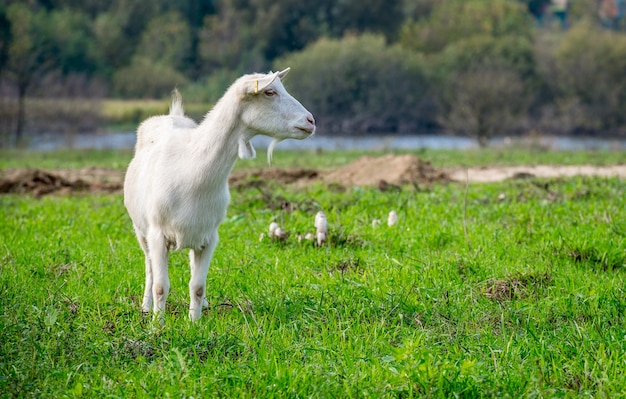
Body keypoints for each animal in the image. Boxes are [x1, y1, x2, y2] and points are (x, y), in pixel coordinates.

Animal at [122, 69, 314, 322]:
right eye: (270, 92)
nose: (310, 121)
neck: (192, 168)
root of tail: (172, 115)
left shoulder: (209, 237)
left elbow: (197, 285)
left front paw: (194, 322)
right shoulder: (157, 233)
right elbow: (161, 286)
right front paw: (157, 324)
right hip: (140, 229)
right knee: (149, 266)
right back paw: (145, 307)